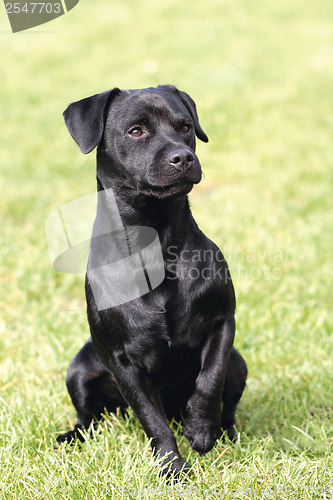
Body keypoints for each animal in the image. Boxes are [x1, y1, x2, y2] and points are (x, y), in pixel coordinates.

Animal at [57, 86, 246, 476]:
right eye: (135, 131)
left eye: (185, 126)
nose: (183, 157)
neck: (155, 243)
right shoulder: (122, 360)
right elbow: (152, 419)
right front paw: (172, 468)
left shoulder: (222, 324)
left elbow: (210, 378)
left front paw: (201, 430)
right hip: (79, 369)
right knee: (88, 417)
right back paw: (71, 437)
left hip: (239, 363)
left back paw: (225, 432)